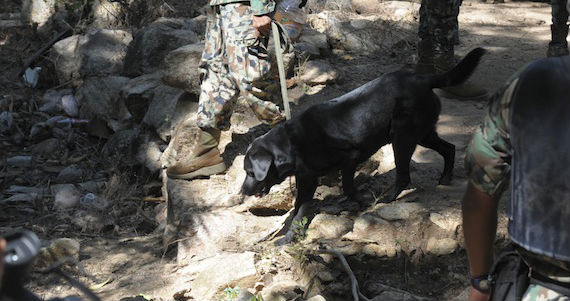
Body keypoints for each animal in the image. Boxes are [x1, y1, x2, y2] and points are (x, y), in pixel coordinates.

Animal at [240, 47, 484, 244]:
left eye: (250, 172)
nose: (243, 191)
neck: (292, 143)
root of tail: (423, 79)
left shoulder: (350, 157)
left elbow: (348, 186)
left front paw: (361, 201)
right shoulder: (307, 180)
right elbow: (298, 212)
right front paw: (289, 238)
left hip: (402, 138)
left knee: (404, 175)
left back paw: (388, 198)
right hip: (423, 134)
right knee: (449, 148)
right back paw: (445, 178)